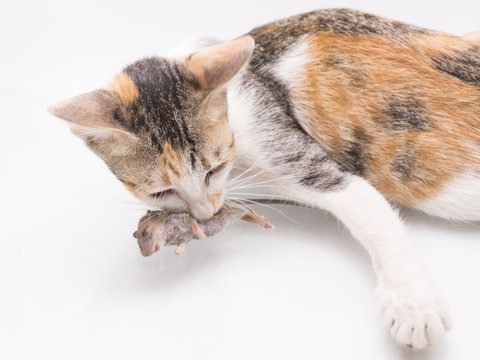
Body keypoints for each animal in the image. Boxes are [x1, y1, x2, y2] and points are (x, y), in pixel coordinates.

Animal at [49, 9, 480, 348]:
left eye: (214, 168)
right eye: (161, 191)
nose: (204, 214)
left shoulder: (280, 143)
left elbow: (369, 208)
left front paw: (413, 304)